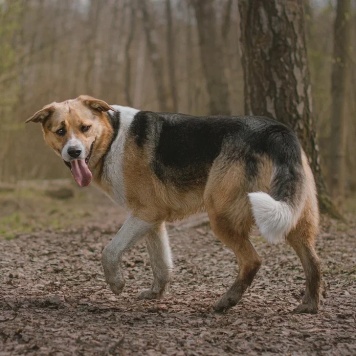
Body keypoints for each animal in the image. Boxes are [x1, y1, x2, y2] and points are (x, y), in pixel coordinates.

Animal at [26, 96, 322, 312]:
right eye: (60, 131)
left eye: (85, 128)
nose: (74, 152)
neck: (112, 138)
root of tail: (276, 130)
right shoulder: (152, 220)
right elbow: (161, 264)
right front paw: (156, 294)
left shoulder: (144, 214)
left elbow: (109, 251)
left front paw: (117, 284)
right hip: (293, 216)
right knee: (313, 262)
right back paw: (309, 305)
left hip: (221, 214)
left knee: (252, 261)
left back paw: (226, 302)